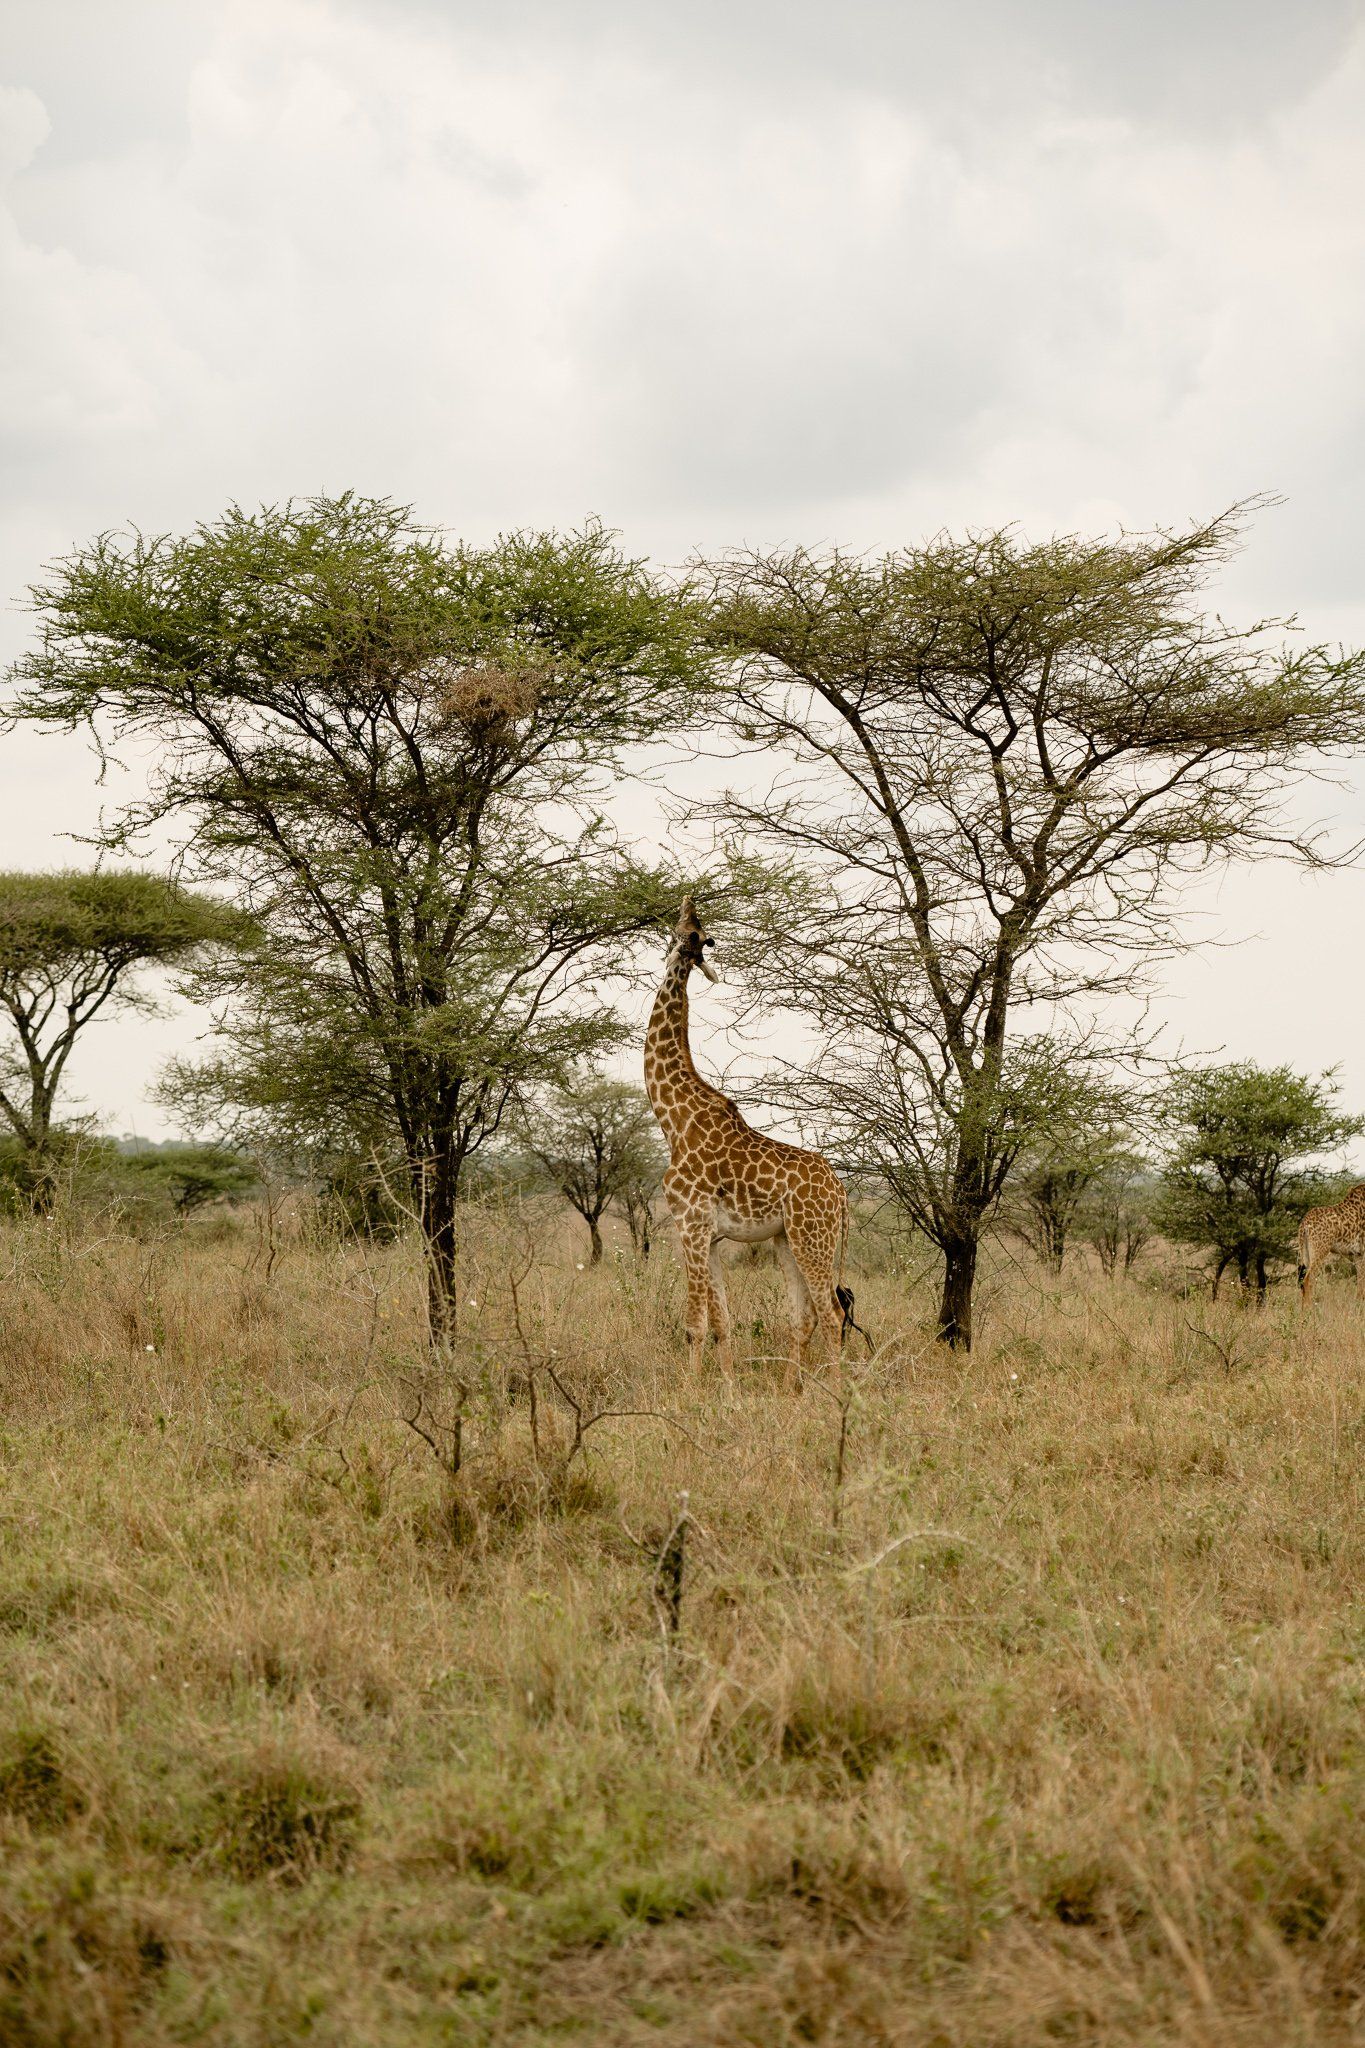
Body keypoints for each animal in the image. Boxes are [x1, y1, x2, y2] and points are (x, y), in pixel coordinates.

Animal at [644, 896, 855, 1384]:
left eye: (685, 928)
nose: (684, 899)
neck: (673, 1118)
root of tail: (841, 1195)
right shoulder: (712, 1236)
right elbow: (723, 1322)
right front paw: (728, 1390)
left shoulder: (689, 1225)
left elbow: (694, 1324)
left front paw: (692, 1391)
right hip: (787, 1240)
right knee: (805, 1316)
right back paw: (792, 1390)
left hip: (812, 1238)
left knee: (832, 1313)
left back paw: (836, 1393)